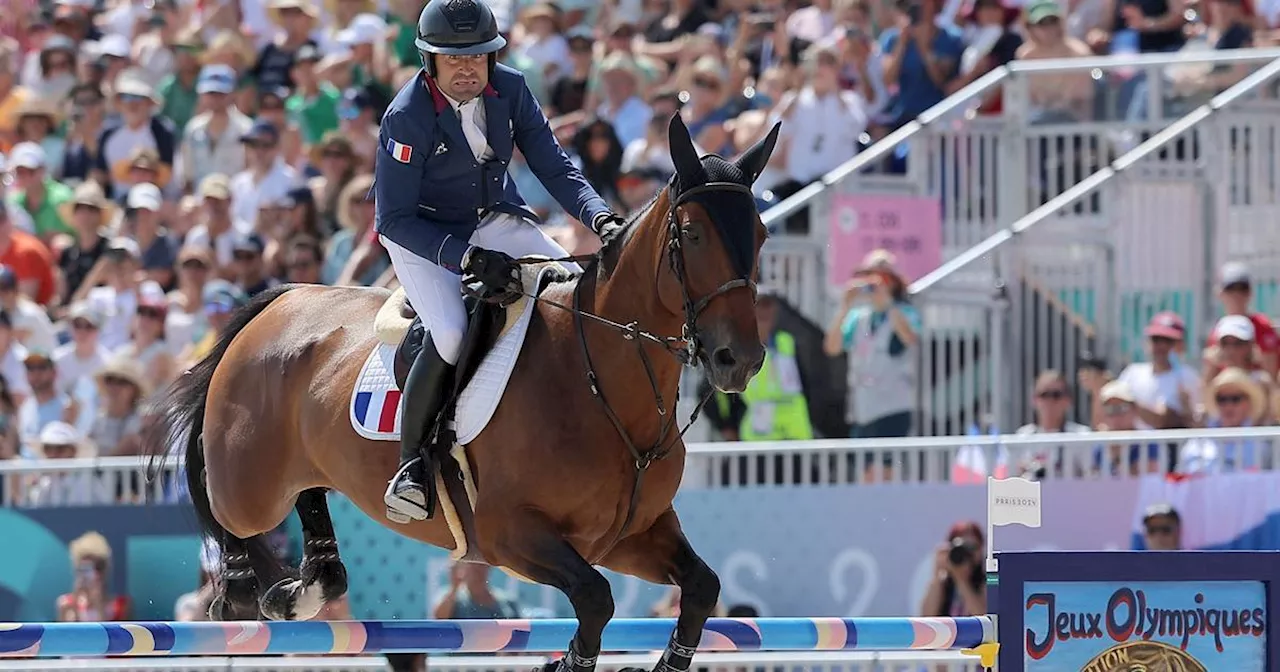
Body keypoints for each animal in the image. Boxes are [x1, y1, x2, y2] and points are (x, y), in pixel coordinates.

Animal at [142, 113, 778, 670]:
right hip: (251, 487)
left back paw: (308, 586)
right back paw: (243, 591)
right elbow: (596, 600)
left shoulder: (630, 534)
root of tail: (279, 300)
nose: (739, 360)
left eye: (762, 233)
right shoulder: (511, 534)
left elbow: (701, 586)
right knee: (226, 506)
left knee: (310, 497)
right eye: (692, 234)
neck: (600, 382)